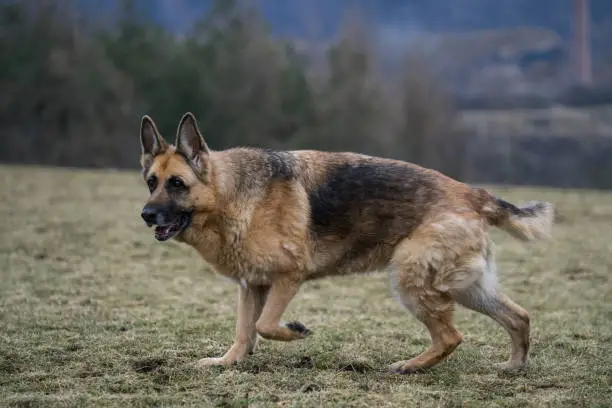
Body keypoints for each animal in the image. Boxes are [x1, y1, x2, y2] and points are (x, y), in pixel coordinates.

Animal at [140, 111, 556, 372]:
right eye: (150, 182)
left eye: (177, 184)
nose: (146, 215)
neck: (229, 194)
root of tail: (473, 194)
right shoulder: (252, 286)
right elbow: (245, 330)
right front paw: (229, 363)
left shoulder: (288, 277)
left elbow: (265, 325)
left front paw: (294, 332)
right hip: (466, 287)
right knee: (518, 317)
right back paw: (514, 367)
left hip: (411, 280)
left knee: (451, 336)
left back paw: (411, 366)